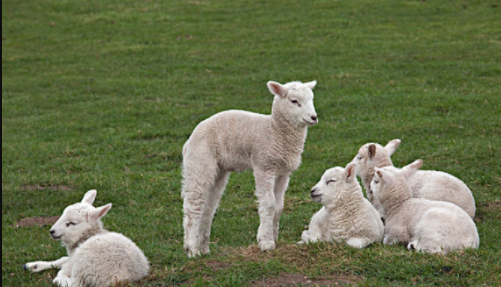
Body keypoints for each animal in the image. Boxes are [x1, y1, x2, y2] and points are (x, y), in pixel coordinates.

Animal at [182, 80, 318, 258]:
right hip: (200, 162)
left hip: (218, 170)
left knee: (208, 207)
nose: (314, 117)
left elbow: (279, 206)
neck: (275, 131)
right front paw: (266, 242)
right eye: (294, 101)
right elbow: (269, 203)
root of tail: (189, 141)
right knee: (193, 205)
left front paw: (274, 237)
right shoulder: (264, 165)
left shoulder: (283, 172)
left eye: (312, 99)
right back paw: (192, 249)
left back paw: (203, 248)